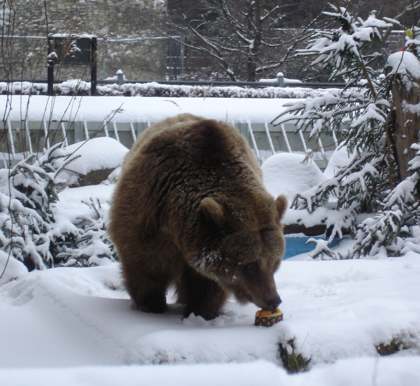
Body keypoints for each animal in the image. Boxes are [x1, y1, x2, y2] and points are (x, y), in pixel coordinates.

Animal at [108, 114, 288, 320]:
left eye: (275, 262)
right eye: (250, 265)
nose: (273, 300)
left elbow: (207, 286)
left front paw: (201, 311)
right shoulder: (148, 216)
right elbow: (145, 267)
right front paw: (151, 305)